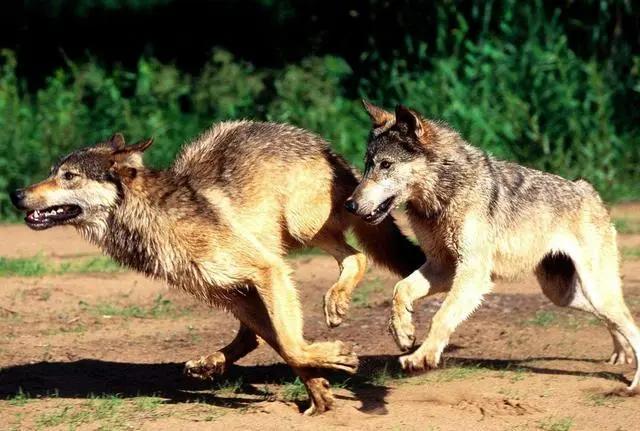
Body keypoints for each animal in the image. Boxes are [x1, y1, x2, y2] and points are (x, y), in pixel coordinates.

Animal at [10, 120, 424, 416]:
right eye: (53, 171)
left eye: (69, 176)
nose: (15, 194)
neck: (157, 217)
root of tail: (324, 146)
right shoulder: (237, 289)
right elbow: (288, 347)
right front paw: (321, 392)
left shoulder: (266, 270)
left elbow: (292, 344)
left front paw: (335, 361)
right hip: (238, 289)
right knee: (254, 336)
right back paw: (209, 363)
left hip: (298, 230)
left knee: (357, 257)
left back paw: (335, 303)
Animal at [344, 101, 640, 392]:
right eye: (367, 165)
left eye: (386, 164)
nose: (349, 205)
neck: (444, 195)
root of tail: (588, 190)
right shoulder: (443, 266)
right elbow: (400, 289)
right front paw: (403, 333)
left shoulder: (473, 274)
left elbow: (441, 316)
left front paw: (422, 357)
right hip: (562, 294)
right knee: (613, 319)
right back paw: (621, 352)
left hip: (596, 291)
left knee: (630, 322)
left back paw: (634, 382)